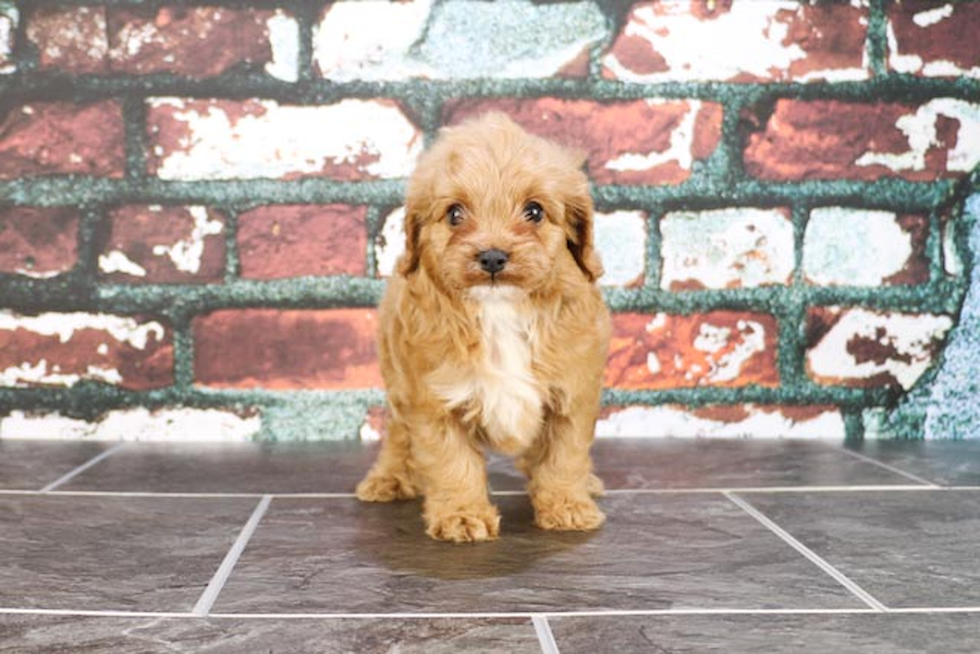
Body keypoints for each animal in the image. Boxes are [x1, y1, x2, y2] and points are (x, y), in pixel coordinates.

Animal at [356, 113, 608, 544]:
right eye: (455, 214)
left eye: (534, 211)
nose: (492, 256)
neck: (500, 309)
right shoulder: (432, 400)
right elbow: (451, 462)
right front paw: (461, 516)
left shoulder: (573, 391)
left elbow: (564, 455)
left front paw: (567, 506)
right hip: (397, 381)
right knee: (397, 432)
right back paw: (387, 478)